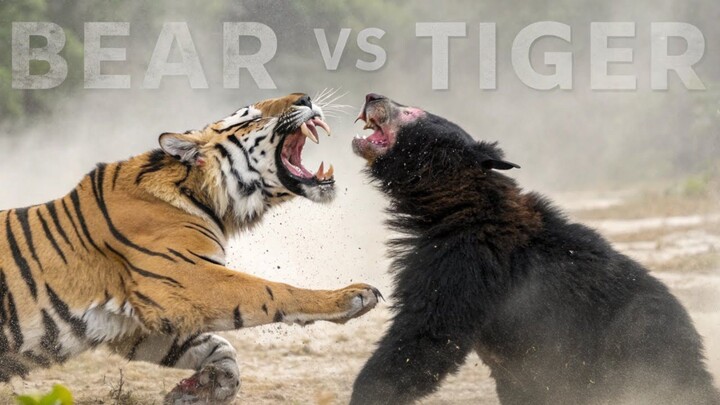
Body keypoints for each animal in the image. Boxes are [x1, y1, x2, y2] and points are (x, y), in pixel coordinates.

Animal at [0, 92, 381, 404]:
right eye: (251, 114)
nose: (306, 97)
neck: (208, 198)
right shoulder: (185, 280)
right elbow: (272, 290)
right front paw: (353, 297)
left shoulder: (138, 321)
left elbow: (217, 347)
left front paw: (204, 388)